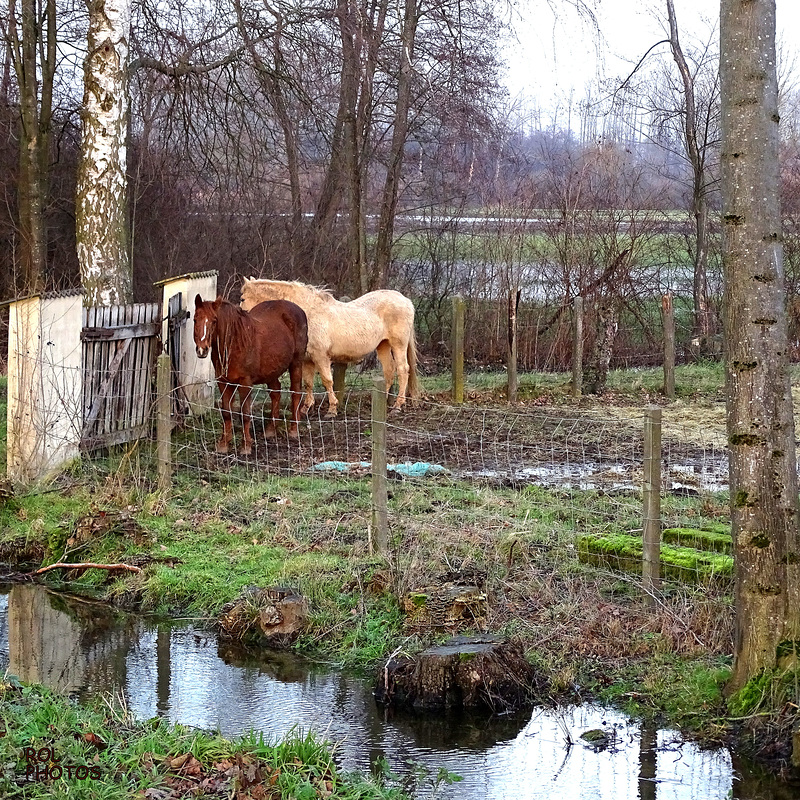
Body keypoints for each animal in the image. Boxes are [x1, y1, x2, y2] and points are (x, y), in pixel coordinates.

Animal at [192, 296, 308, 456]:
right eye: (195, 319)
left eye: (214, 320)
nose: (202, 350)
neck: (234, 343)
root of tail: (298, 309)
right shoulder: (223, 382)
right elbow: (226, 412)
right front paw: (223, 444)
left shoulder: (245, 383)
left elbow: (245, 413)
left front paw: (246, 445)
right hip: (272, 370)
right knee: (275, 393)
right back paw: (270, 430)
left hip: (296, 364)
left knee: (296, 392)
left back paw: (293, 430)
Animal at [241, 276, 418, 416]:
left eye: (242, 299)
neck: (306, 313)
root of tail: (406, 300)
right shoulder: (307, 359)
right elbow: (308, 383)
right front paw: (306, 408)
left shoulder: (321, 357)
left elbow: (327, 381)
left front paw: (332, 409)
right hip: (383, 346)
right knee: (389, 370)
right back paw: (383, 400)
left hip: (398, 344)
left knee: (403, 370)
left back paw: (397, 406)